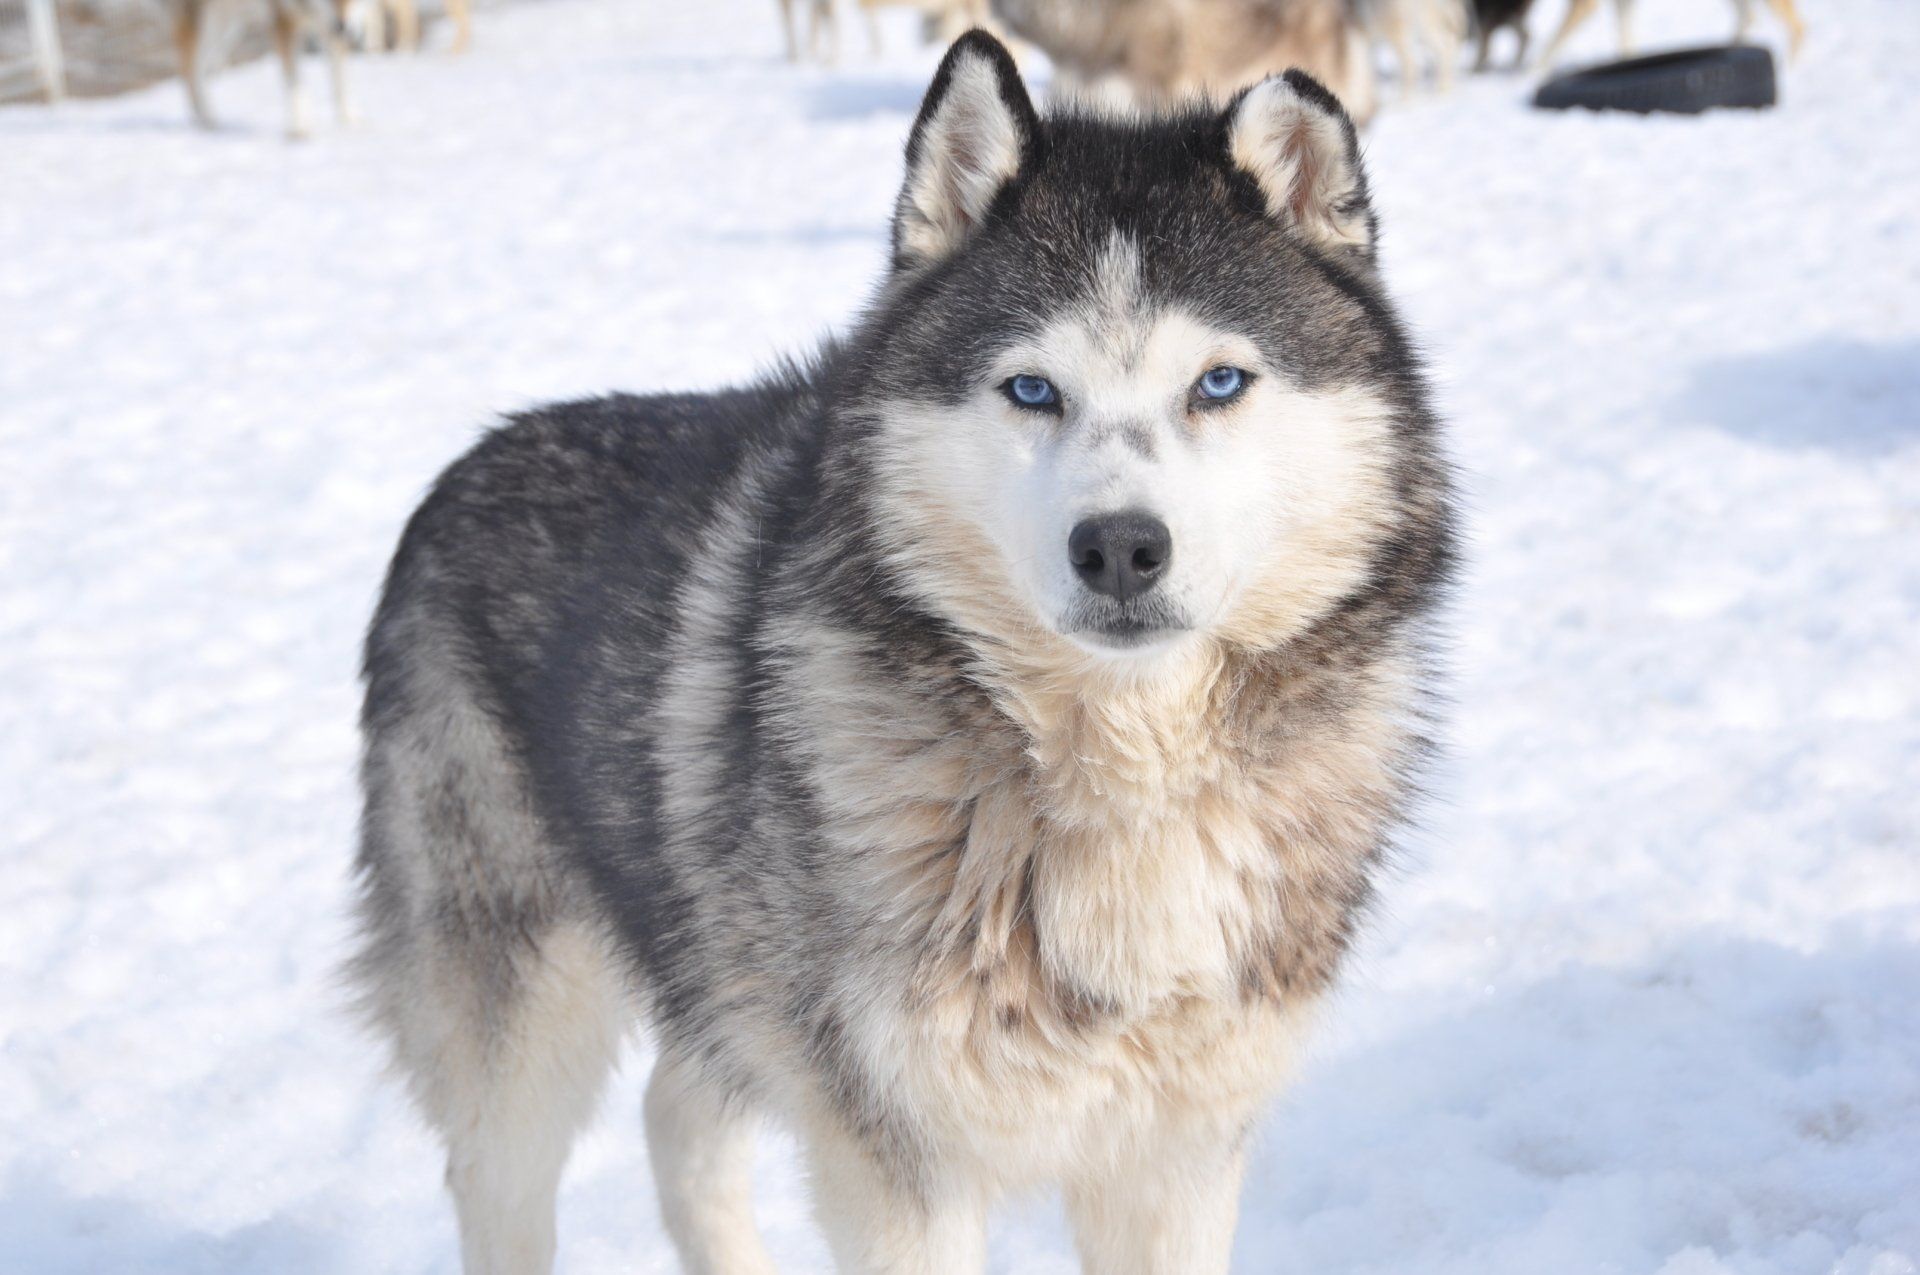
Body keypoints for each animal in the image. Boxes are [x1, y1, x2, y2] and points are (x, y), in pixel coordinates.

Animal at [350, 30, 1455, 1275]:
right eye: (1032, 388)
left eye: (1218, 383)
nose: (1120, 547)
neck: (1120, 796)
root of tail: (464, 465)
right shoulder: (899, 1171)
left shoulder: (1174, 1157)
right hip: (527, 1034)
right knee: (510, 1174)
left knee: (677, 1119)